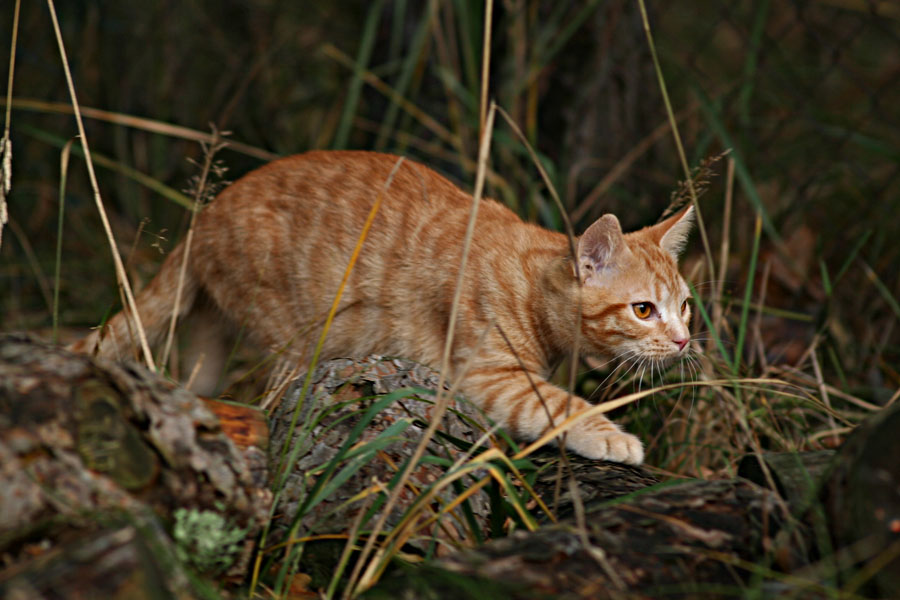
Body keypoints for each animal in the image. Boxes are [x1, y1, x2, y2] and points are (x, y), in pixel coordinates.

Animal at [74, 150, 692, 464]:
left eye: (685, 306)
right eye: (643, 310)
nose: (685, 340)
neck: (531, 282)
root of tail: (205, 216)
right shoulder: (489, 376)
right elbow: (559, 405)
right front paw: (611, 435)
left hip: (212, 335)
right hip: (295, 345)